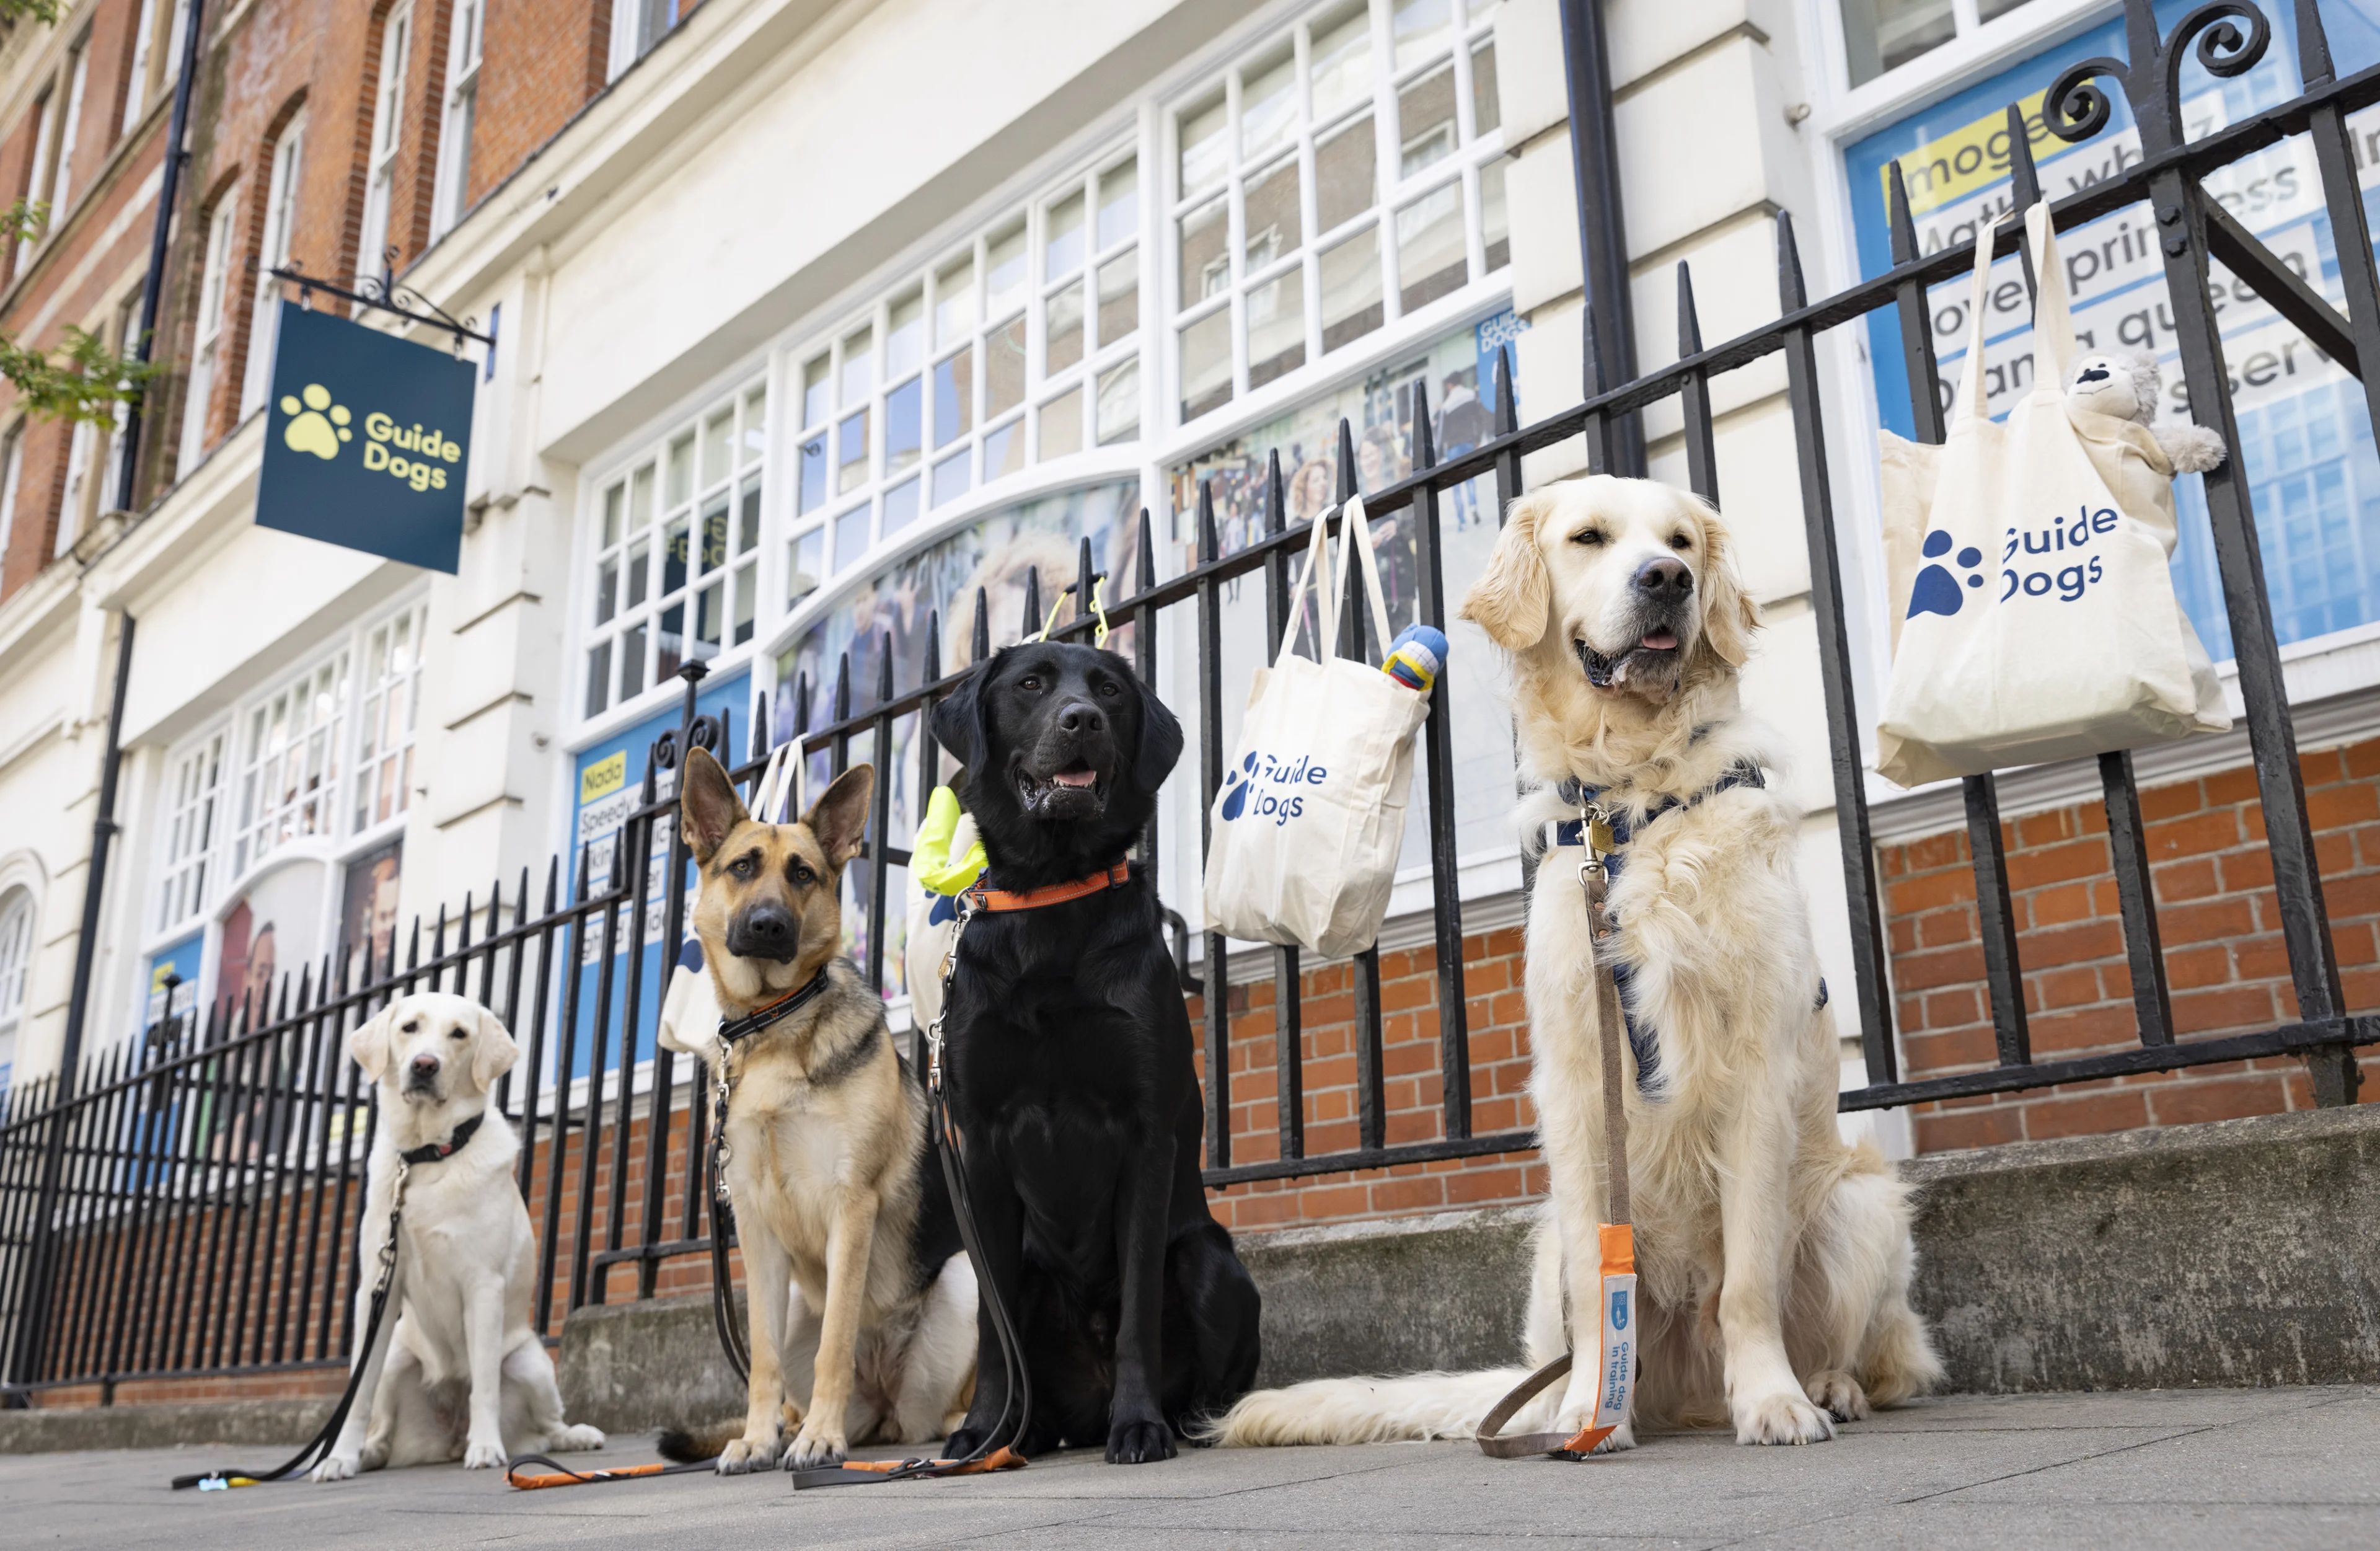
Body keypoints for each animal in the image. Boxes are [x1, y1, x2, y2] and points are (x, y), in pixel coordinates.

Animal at [656, 746, 971, 1475]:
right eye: (743, 867)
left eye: (803, 874)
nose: (769, 926)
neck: (774, 1026)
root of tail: (885, 1409)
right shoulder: (754, 1225)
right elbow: (763, 1358)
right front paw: (757, 1438)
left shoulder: (849, 1204)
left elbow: (837, 1340)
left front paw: (821, 1440)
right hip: (802, 1301)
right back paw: (793, 1428)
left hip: (965, 1287)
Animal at [928, 637, 1266, 1456]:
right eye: (1031, 684)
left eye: (1111, 691)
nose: (1082, 719)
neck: (1054, 891)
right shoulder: (980, 1140)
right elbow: (992, 1325)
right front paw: (982, 1431)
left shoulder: (1145, 1134)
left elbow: (1139, 1306)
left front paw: (1139, 1425)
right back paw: (1027, 1432)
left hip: (1212, 1259)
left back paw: (1182, 1420)